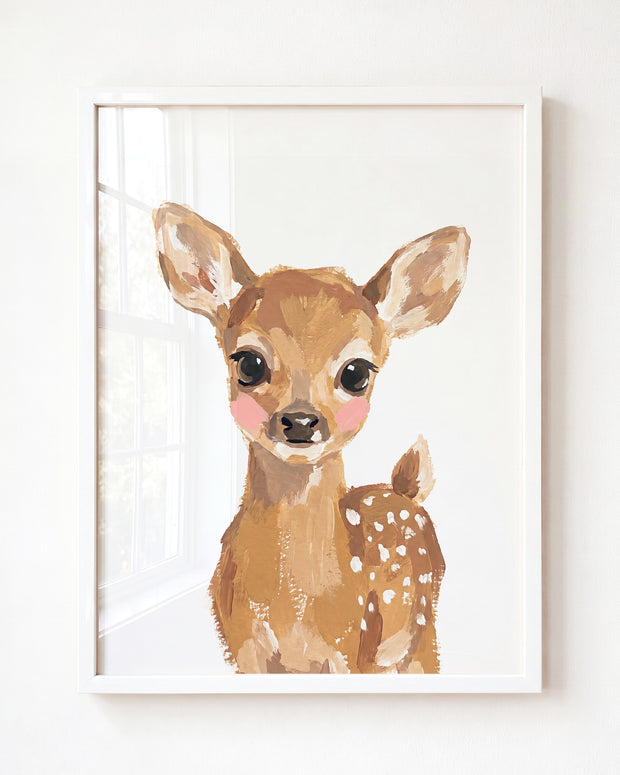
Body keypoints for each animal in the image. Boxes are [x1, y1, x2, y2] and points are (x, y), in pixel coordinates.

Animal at [154, 202, 470, 674]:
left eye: (357, 372)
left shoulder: (350, 648)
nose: (301, 420)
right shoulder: (242, 648)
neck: (294, 606)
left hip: (421, 630)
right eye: (248, 363)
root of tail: (405, 491)